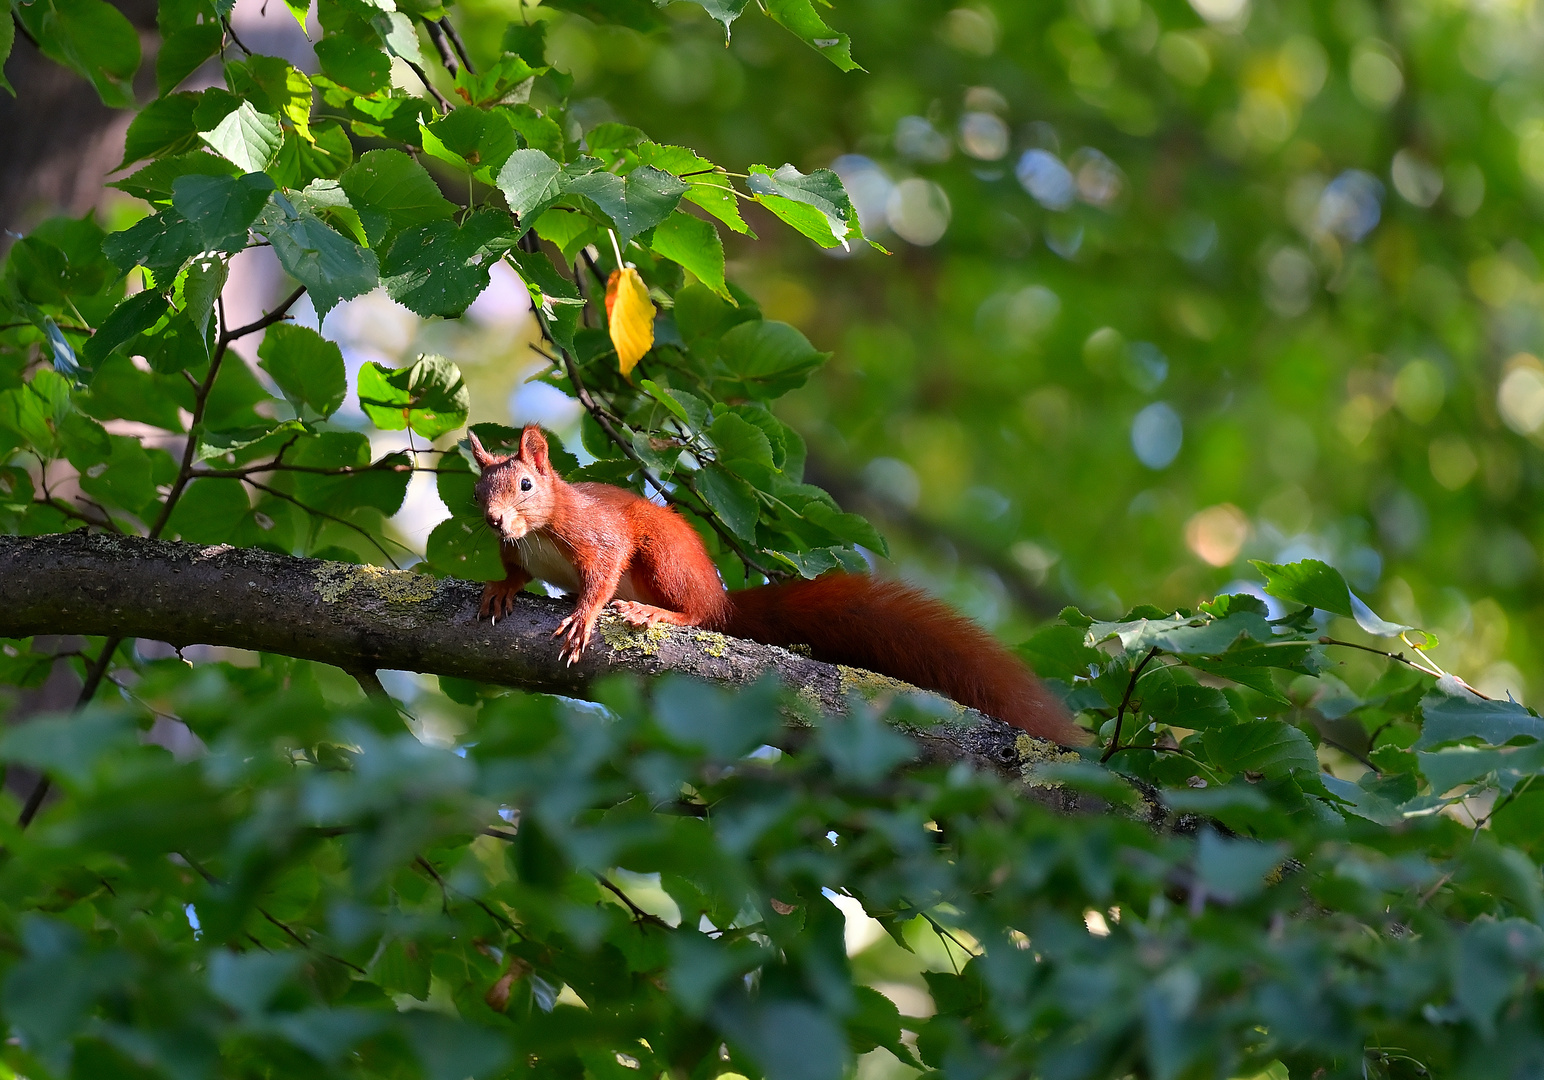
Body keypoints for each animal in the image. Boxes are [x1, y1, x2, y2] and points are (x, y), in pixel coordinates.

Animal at [469, 426, 1086, 747]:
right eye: (477, 492)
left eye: (525, 485)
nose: (494, 520)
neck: (538, 530)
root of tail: (722, 594)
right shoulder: (518, 549)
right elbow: (516, 571)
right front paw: (501, 588)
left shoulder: (596, 534)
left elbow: (602, 571)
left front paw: (583, 616)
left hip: (667, 561)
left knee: (701, 614)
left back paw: (664, 615)